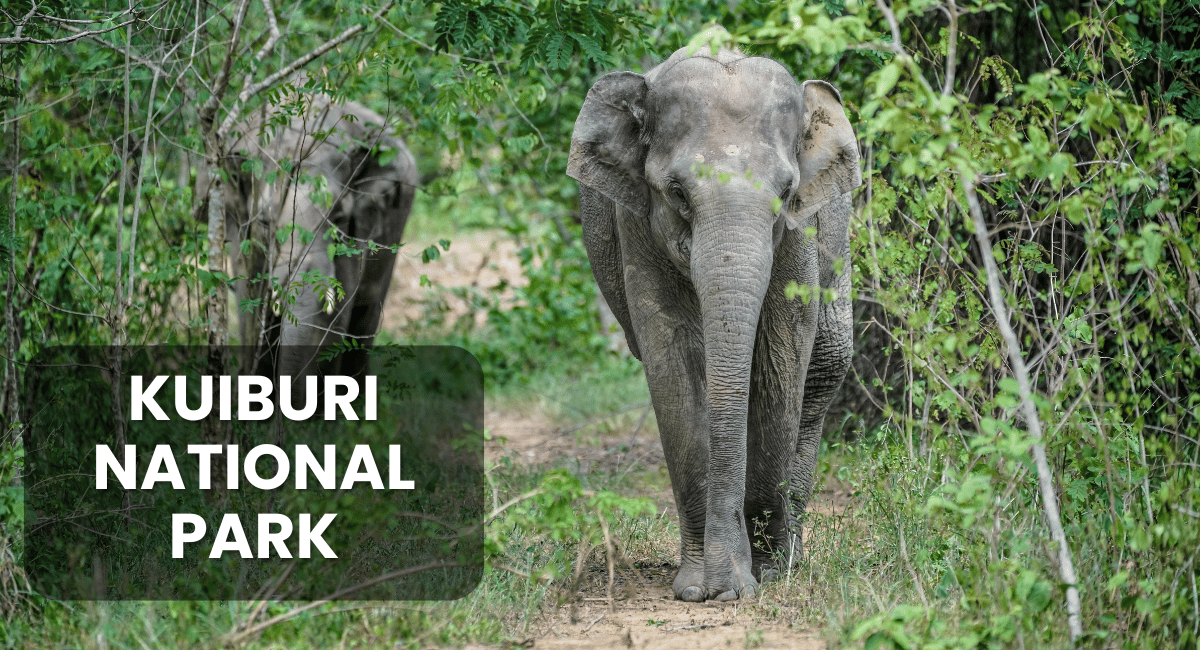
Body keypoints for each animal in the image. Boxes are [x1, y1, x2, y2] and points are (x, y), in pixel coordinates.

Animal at [566, 28, 859, 604]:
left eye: (787, 192)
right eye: (677, 191)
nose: (727, 588)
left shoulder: (800, 236)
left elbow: (781, 352)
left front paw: (763, 574)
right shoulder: (636, 224)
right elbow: (672, 354)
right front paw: (703, 587)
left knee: (826, 364)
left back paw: (791, 552)